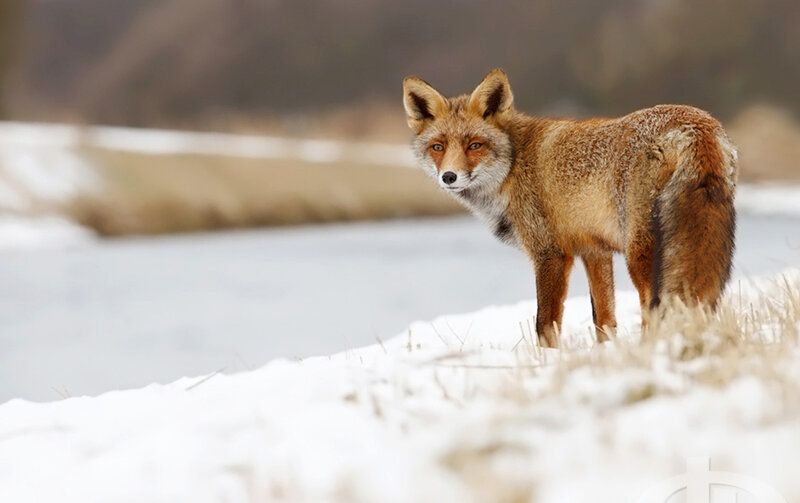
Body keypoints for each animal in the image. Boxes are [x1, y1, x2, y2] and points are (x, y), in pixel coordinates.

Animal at [403, 69, 737, 348]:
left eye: (475, 145)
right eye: (438, 147)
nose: (449, 177)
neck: (514, 166)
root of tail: (695, 121)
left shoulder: (550, 253)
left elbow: (545, 325)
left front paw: (546, 363)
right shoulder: (594, 250)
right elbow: (603, 319)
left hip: (640, 254)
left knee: (652, 309)